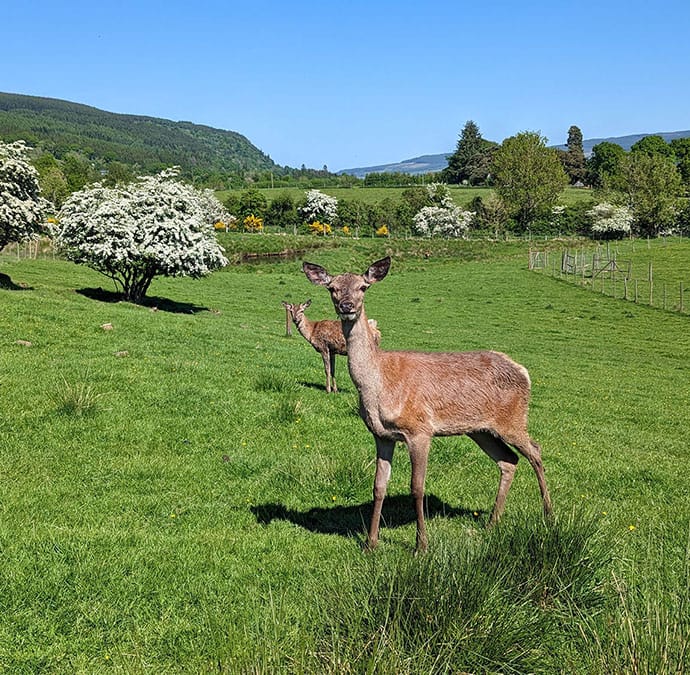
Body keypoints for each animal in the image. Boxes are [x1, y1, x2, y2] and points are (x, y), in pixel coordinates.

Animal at [303, 256, 552, 553]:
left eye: (363, 286)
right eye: (332, 288)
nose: (347, 306)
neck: (378, 385)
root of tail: (524, 371)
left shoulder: (420, 430)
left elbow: (417, 487)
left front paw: (421, 545)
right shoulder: (381, 435)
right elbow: (378, 486)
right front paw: (371, 542)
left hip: (512, 419)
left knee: (536, 451)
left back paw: (549, 515)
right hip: (480, 429)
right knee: (509, 460)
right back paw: (492, 523)